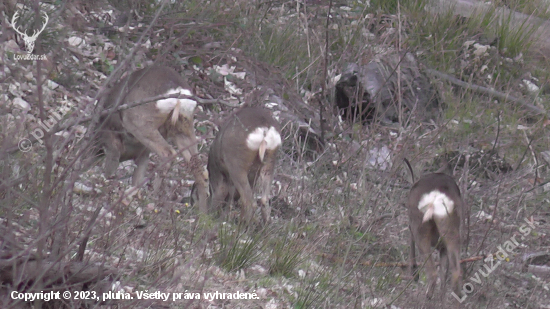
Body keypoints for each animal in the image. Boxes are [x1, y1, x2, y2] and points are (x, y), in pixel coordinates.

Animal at [97, 65, 209, 209]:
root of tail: (179, 96)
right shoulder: (143, 152)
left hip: (137, 120)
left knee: (168, 153)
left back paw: (150, 198)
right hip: (183, 129)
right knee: (200, 169)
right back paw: (202, 211)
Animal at [406, 158, 466, 298]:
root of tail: (436, 197)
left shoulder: (411, 225)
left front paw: (414, 273)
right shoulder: (442, 247)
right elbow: (444, 275)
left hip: (420, 227)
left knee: (432, 274)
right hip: (451, 228)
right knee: (455, 272)